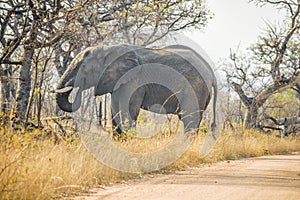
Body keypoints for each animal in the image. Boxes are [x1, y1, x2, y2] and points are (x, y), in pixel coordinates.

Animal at [55, 44, 217, 134]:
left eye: (83, 67)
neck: (109, 49)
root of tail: (210, 70)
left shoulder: (133, 81)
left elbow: (128, 110)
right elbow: (115, 111)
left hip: (196, 88)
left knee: (190, 118)